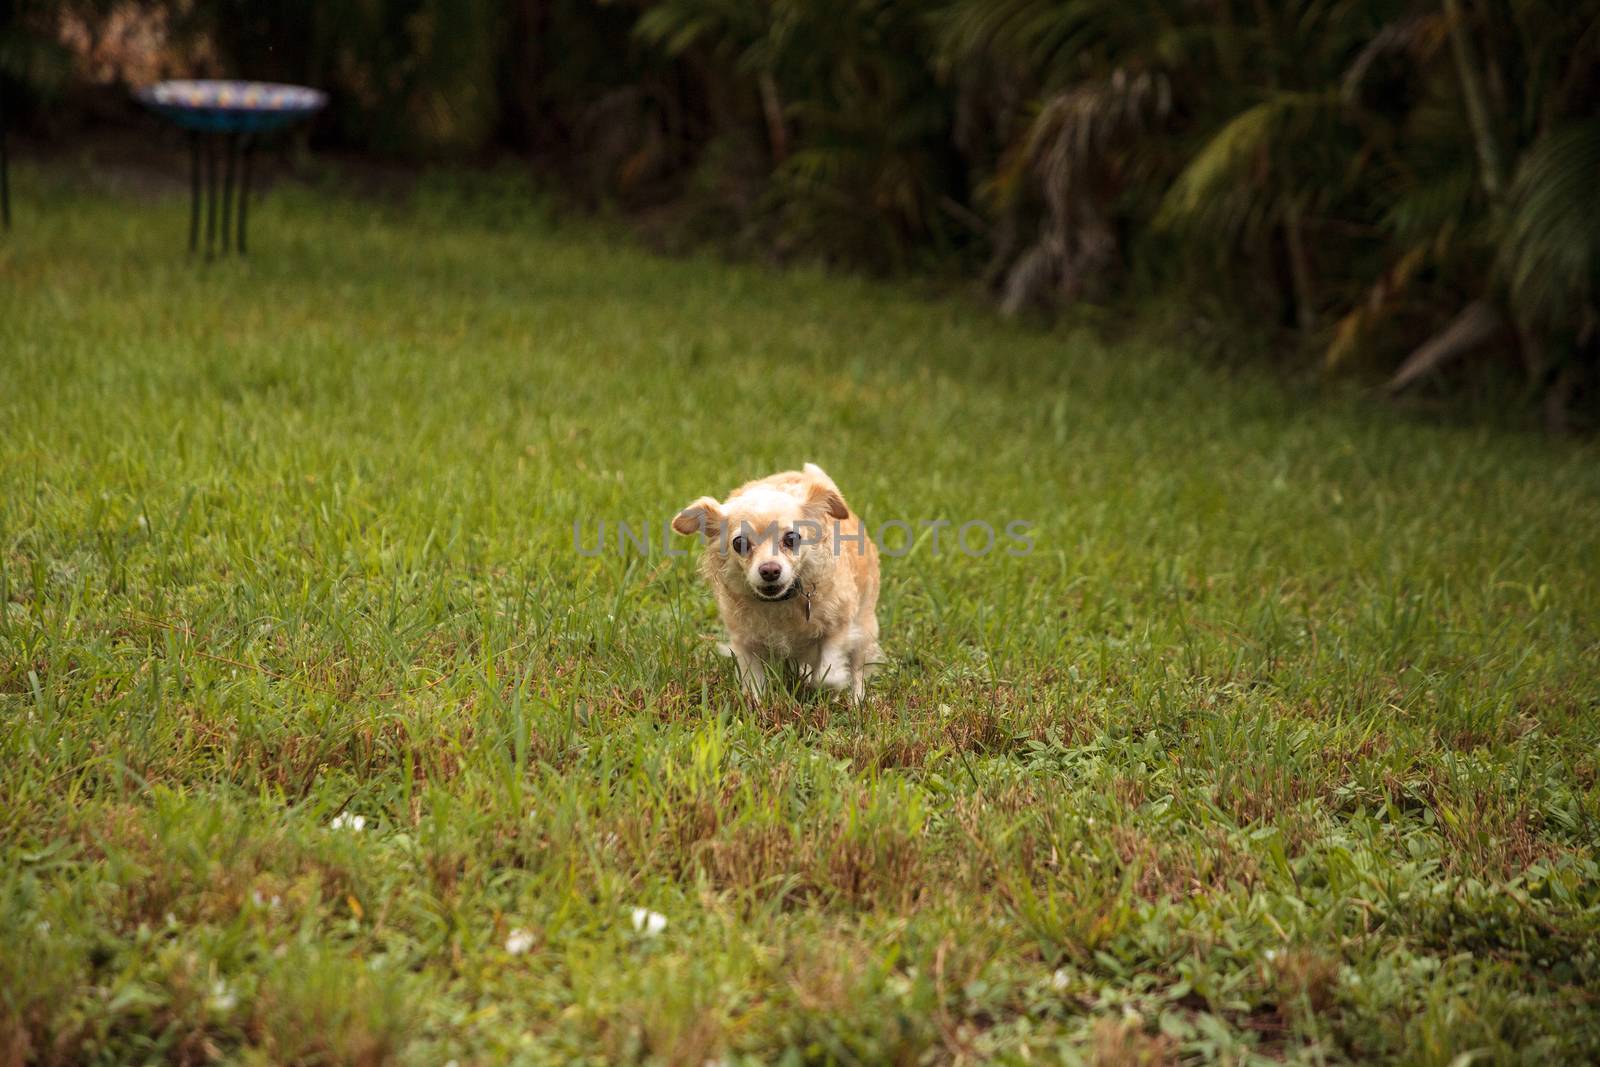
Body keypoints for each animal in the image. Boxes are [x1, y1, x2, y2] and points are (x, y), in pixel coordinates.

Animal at [672, 463, 883, 700]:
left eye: (791, 539)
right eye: (739, 543)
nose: (770, 570)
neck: (781, 601)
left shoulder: (839, 627)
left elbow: (827, 674)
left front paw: (832, 687)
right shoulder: (745, 643)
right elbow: (753, 685)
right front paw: (755, 703)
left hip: (865, 628)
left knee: (858, 671)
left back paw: (857, 701)